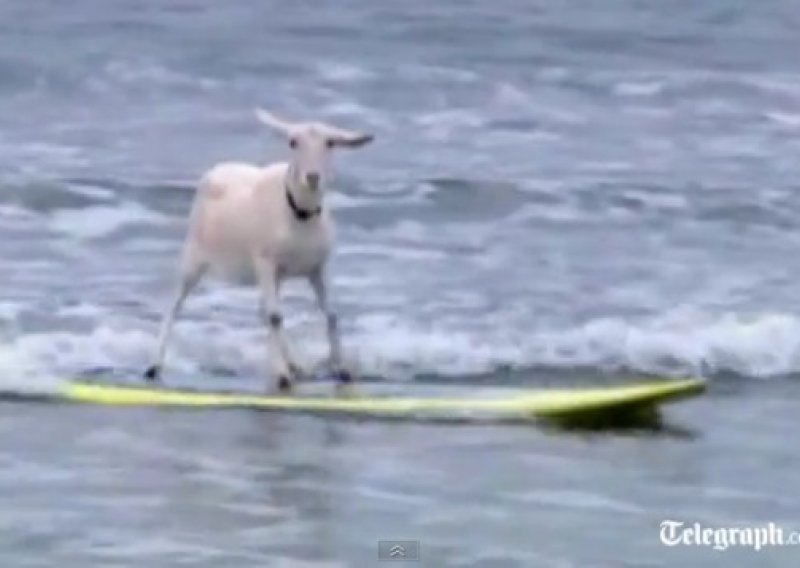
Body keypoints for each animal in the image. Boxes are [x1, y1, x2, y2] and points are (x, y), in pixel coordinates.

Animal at [145, 109, 376, 392]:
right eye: (293, 142)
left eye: (330, 142)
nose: (312, 177)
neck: (299, 215)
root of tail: (218, 168)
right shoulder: (265, 261)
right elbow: (275, 316)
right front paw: (282, 376)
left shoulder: (317, 266)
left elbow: (331, 313)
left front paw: (342, 370)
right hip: (195, 255)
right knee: (175, 304)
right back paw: (154, 365)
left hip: (275, 274)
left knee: (263, 310)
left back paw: (295, 365)